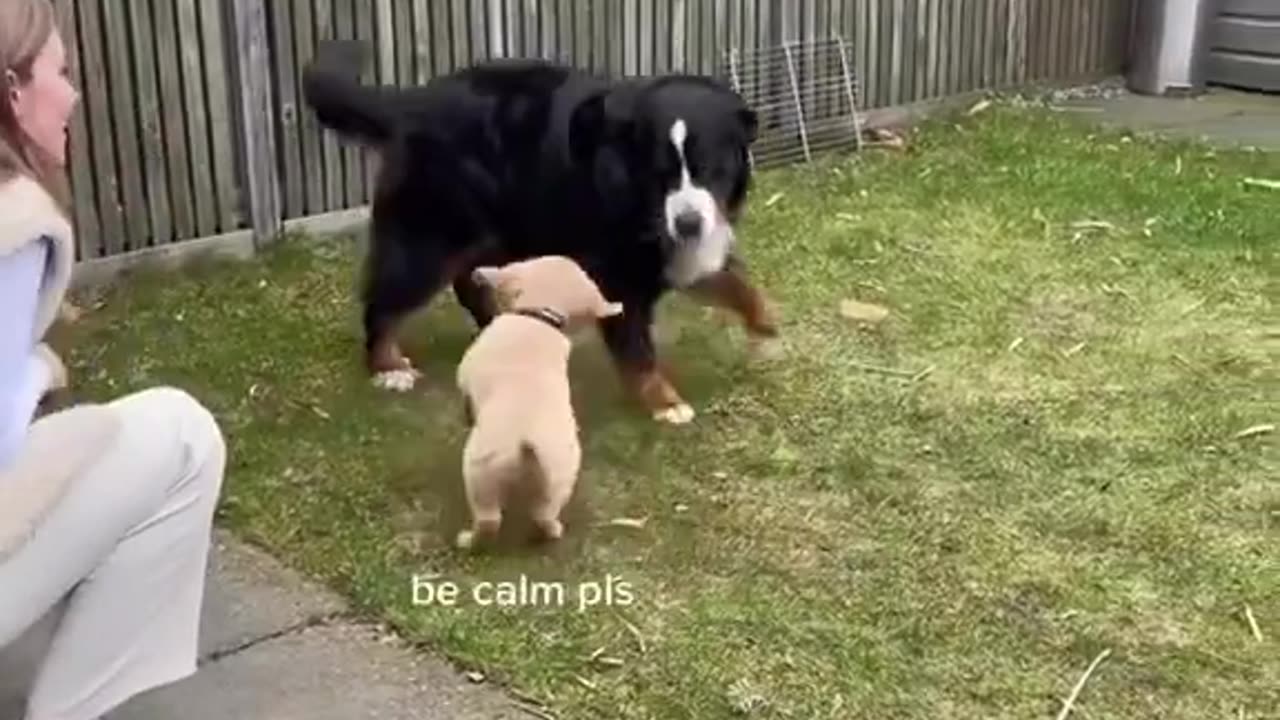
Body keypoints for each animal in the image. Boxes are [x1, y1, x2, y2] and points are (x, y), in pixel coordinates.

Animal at [302, 40, 778, 420]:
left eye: (711, 168)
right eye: (661, 173)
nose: (688, 222)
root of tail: (411, 101)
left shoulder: (685, 253)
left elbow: (741, 287)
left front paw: (767, 331)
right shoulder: (618, 277)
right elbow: (638, 351)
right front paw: (665, 404)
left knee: (469, 283)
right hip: (430, 240)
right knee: (383, 303)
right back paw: (389, 368)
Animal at [455, 254, 624, 545]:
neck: (538, 317)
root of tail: (527, 441)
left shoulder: (465, 379)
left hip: (481, 470)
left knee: (489, 520)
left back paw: (468, 540)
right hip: (560, 475)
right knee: (544, 515)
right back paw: (553, 531)